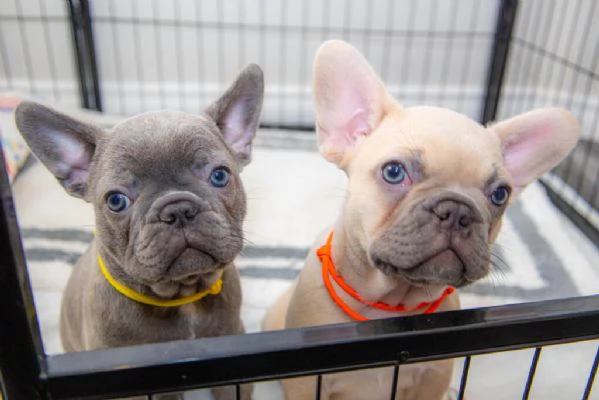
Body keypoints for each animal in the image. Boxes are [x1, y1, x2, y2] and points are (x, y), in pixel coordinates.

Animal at [264, 40, 580, 400]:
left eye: (500, 194)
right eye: (394, 172)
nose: (458, 211)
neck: (390, 302)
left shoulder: (434, 374)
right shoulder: (307, 383)